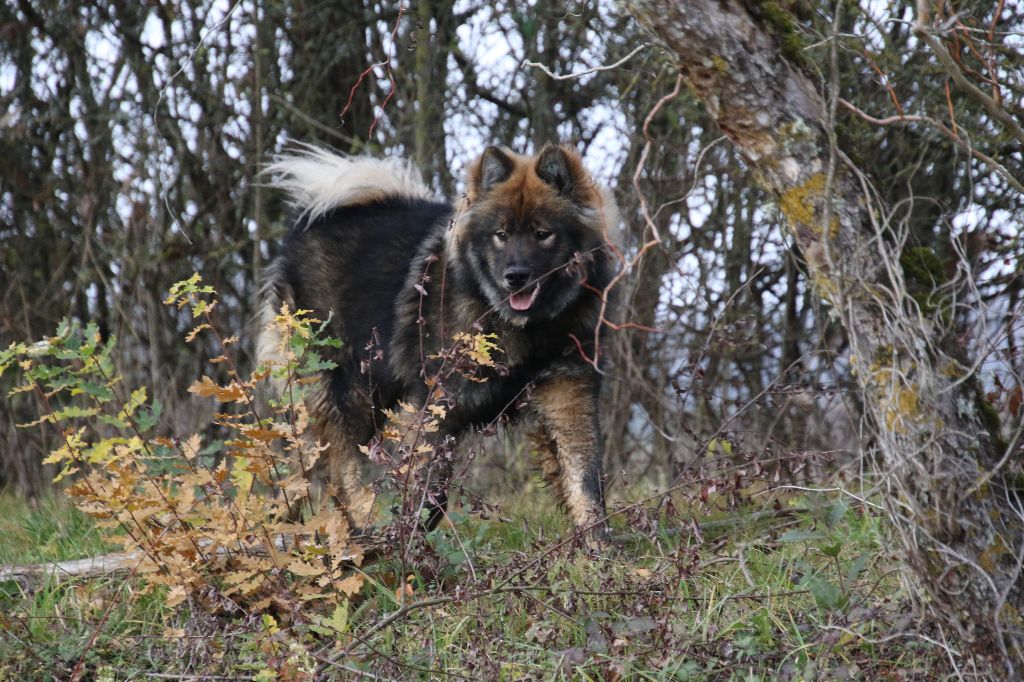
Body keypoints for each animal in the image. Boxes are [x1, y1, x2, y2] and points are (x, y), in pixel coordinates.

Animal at [260, 144, 618, 540]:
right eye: (501, 234)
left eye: (543, 234)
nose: (515, 276)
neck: (528, 330)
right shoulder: (437, 405)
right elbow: (428, 489)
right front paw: (409, 542)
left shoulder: (568, 394)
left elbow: (584, 481)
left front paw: (599, 546)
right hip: (351, 386)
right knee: (338, 462)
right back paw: (361, 523)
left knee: (304, 465)